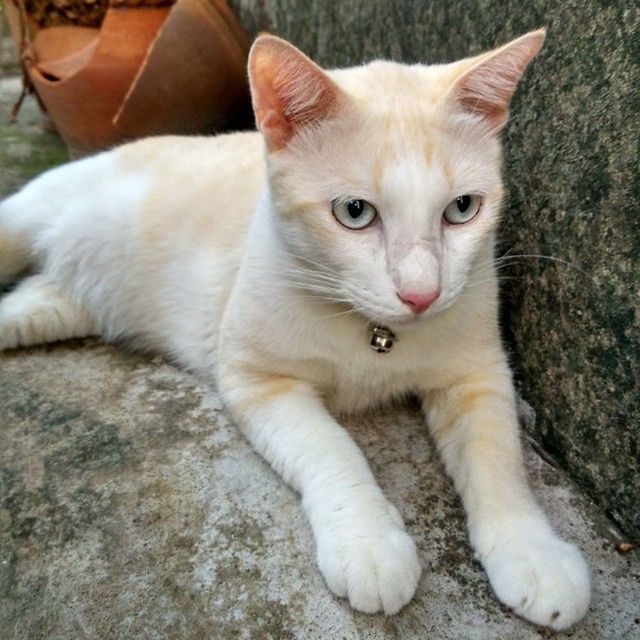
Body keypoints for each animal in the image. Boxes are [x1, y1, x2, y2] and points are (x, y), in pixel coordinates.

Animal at [0, 31, 592, 632]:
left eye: (463, 208)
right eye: (354, 213)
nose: (421, 295)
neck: (374, 332)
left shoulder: (478, 375)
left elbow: (498, 459)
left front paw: (533, 552)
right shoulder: (257, 381)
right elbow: (332, 448)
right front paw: (367, 541)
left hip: (58, 307)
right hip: (27, 220)